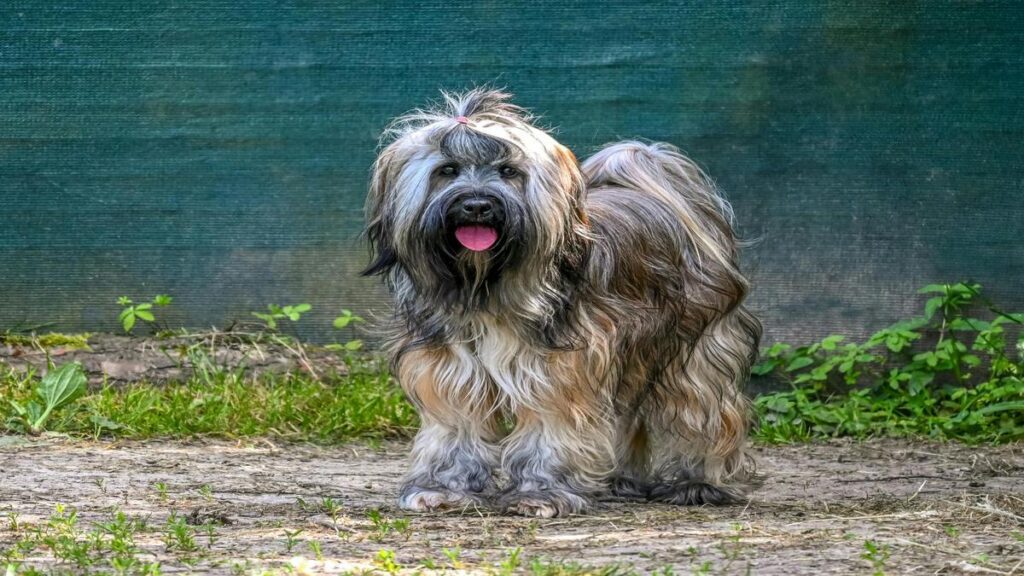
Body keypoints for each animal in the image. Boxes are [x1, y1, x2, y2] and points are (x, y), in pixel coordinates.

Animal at [362, 88, 761, 516]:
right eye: (447, 170)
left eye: (509, 172)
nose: (477, 205)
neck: (487, 288)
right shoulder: (453, 370)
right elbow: (457, 428)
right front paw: (443, 489)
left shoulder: (556, 372)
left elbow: (547, 432)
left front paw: (541, 493)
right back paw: (619, 480)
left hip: (695, 348)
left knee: (704, 411)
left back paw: (697, 482)